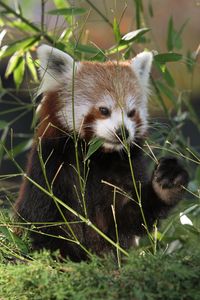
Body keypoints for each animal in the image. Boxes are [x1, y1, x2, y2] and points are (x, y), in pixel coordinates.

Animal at [14, 44, 188, 260]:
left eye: (131, 113)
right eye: (104, 110)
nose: (123, 132)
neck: (97, 156)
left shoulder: (125, 169)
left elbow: (128, 219)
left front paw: (167, 183)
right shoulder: (50, 164)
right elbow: (43, 220)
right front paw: (62, 256)